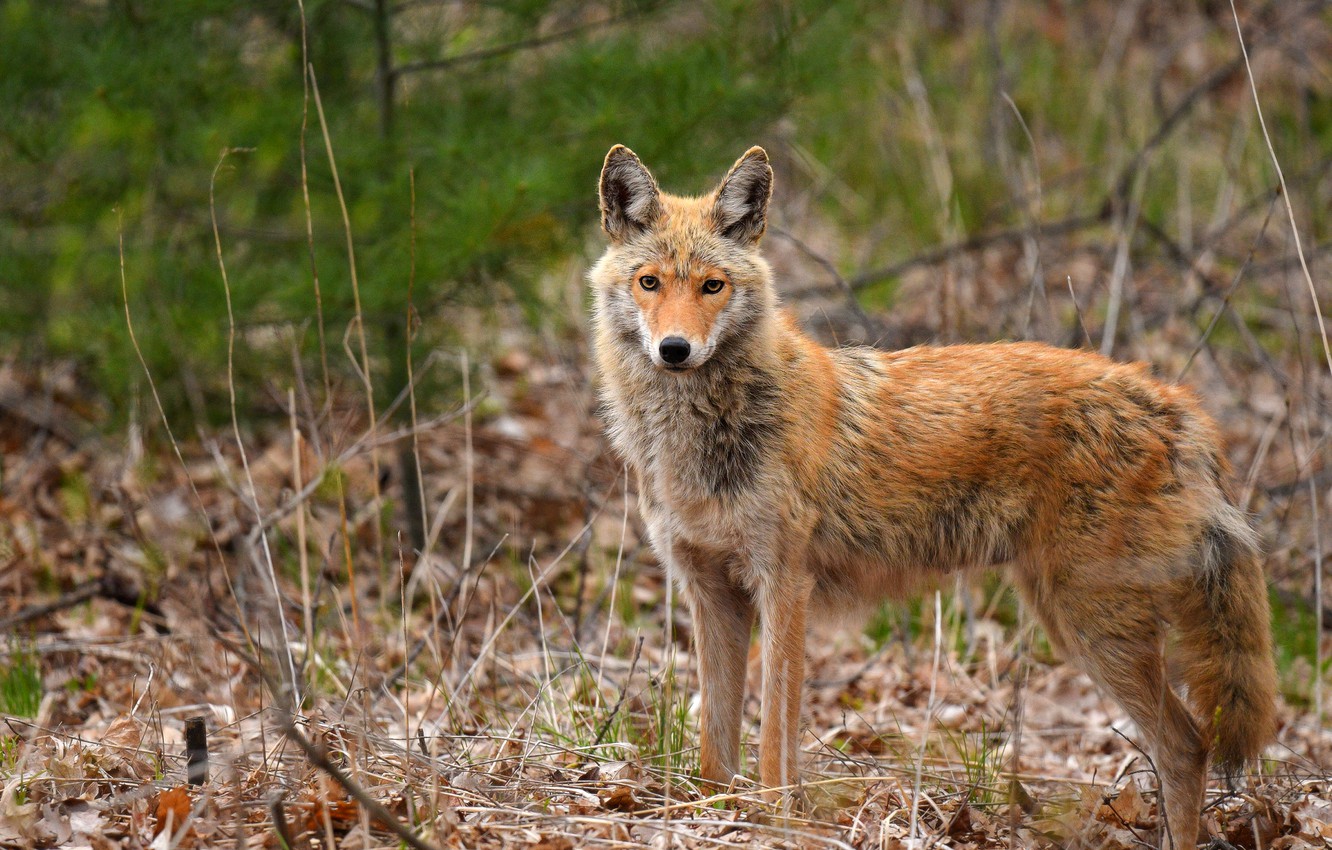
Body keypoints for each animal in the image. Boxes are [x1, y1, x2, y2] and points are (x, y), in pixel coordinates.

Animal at [588, 144, 1277, 848]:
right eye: (650, 283)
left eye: (711, 286)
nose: (675, 349)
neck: (699, 438)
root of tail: (1177, 406)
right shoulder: (711, 594)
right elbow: (714, 748)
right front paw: (715, 813)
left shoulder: (783, 586)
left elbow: (775, 741)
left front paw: (777, 819)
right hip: (1070, 621)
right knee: (1184, 746)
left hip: (1092, 628)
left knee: (1186, 747)